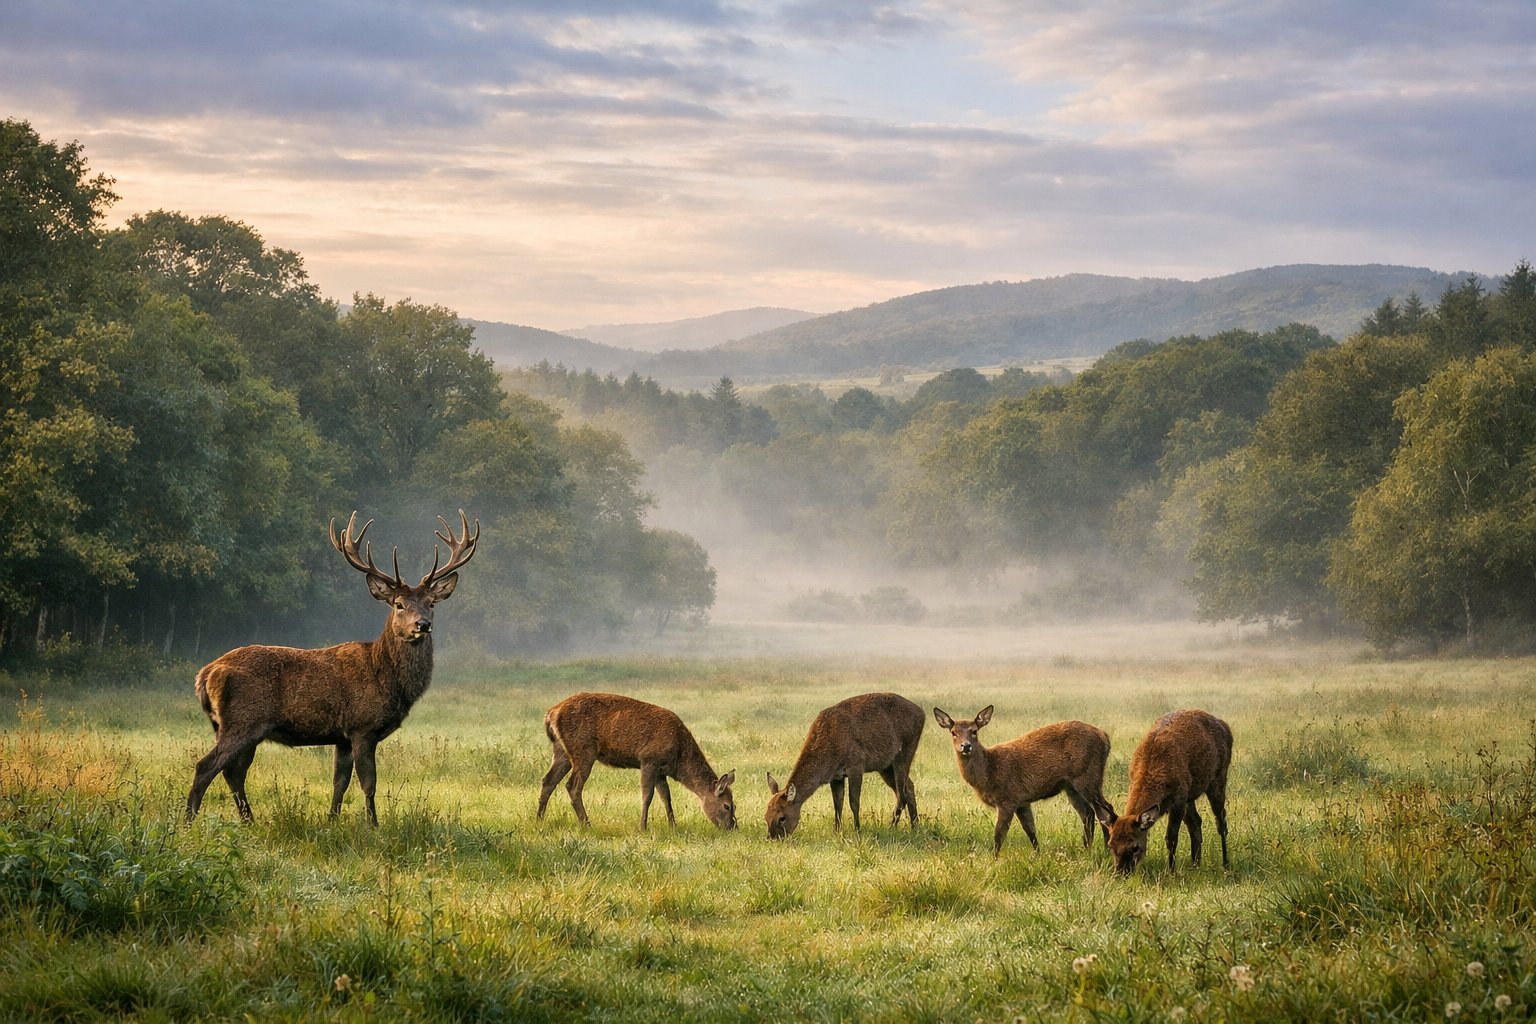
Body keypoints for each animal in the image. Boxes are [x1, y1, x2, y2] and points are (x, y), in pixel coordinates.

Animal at [186, 510, 478, 827]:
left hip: (236, 726)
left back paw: (248, 821)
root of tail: (205, 674)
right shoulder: (363, 726)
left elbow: (340, 782)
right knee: (206, 766)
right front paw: (373, 826)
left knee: (233, 772)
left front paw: (332, 822)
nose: (422, 624)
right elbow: (368, 783)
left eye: (431, 603)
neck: (386, 677)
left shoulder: (343, 736)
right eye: (399, 604)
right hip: (243, 720)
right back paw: (188, 823)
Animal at [537, 692, 737, 829]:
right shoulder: (649, 760)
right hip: (583, 749)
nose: (732, 827)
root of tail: (551, 714)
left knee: (548, 780)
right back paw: (587, 824)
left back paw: (539, 819)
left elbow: (666, 797)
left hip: (561, 750)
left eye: (734, 805)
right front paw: (643, 827)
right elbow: (647, 796)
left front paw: (673, 826)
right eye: (727, 806)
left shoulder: (661, 770)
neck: (679, 760)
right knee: (572, 785)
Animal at [764, 692, 923, 839]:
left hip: (905, 751)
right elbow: (837, 804)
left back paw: (892, 827)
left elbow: (854, 802)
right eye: (765, 816)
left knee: (902, 793)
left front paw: (857, 830)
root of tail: (922, 713)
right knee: (908, 787)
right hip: (885, 766)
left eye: (782, 817)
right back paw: (915, 827)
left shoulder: (856, 765)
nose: (773, 838)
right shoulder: (836, 776)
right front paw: (836, 831)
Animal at [932, 706, 1112, 856]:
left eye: (974, 731)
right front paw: (1038, 856)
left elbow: (999, 835)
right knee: (1088, 814)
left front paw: (994, 859)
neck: (989, 774)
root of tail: (1105, 737)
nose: (966, 746)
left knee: (1105, 810)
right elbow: (1031, 831)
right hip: (1071, 787)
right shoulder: (1022, 802)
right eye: (953, 732)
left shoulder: (1008, 799)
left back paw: (1106, 850)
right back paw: (1088, 849)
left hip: (1088, 776)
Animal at [1095, 708, 1232, 876]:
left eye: (1135, 847)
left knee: (1221, 821)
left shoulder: (1179, 798)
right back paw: (1195, 865)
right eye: (1110, 845)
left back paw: (1225, 864)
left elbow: (1171, 838)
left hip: (1218, 779)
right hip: (1191, 794)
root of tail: (1225, 726)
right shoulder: (1183, 796)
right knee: (1196, 822)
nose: (1121, 873)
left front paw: (1171, 871)